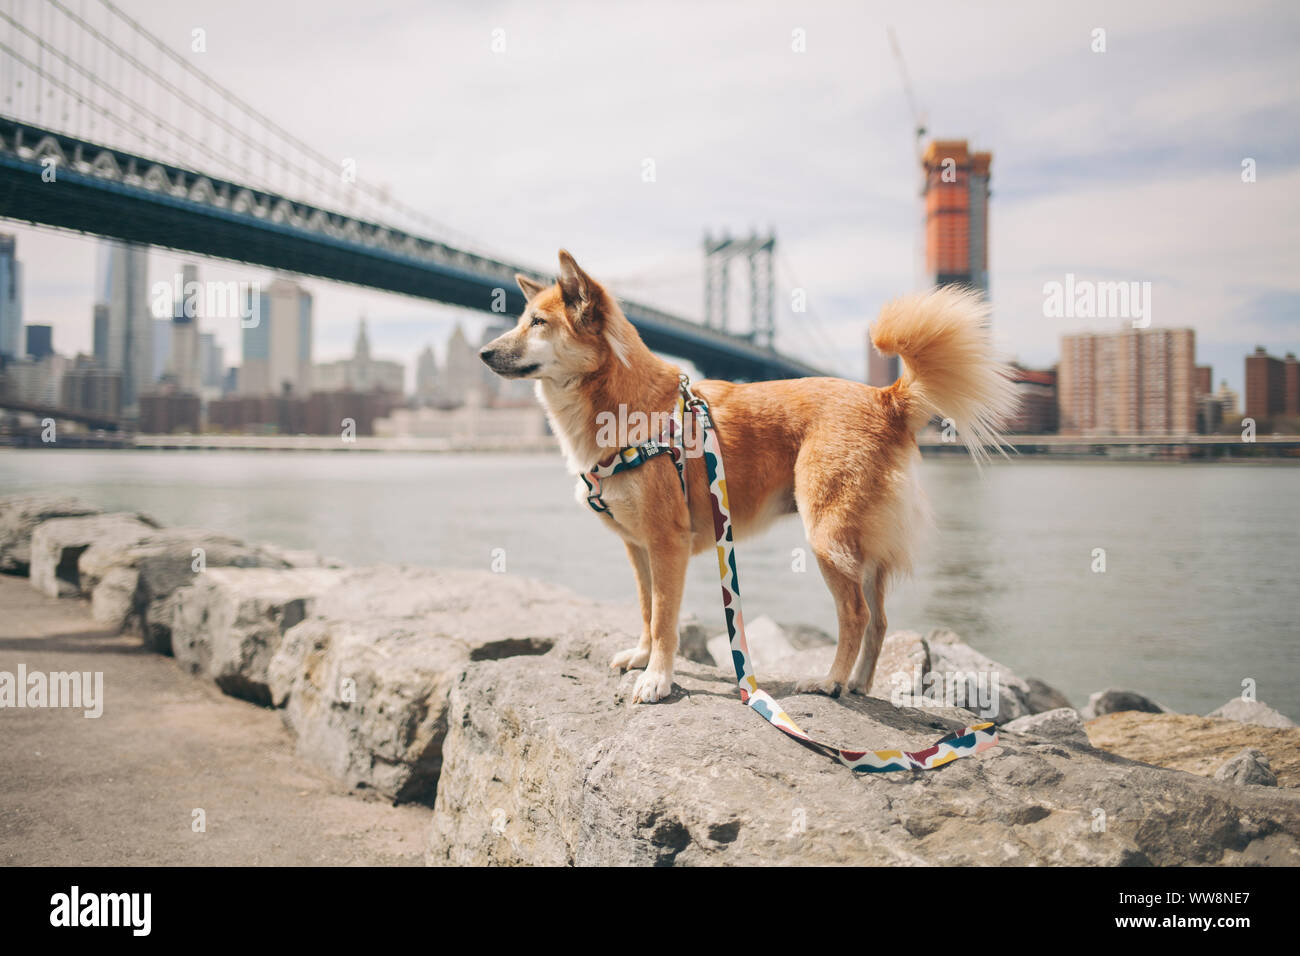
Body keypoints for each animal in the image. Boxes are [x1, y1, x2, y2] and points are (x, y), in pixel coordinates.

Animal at [483, 251, 1019, 707]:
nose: (484, 353)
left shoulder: (667, 542)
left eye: (538, 323)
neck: (623, 407)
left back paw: (830, 681)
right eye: (520, 319)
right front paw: (641, 657)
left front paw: (657, 678)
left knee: (856, 615)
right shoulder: (638, 547)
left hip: (827, 535)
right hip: (860, 545)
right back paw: (859, 684)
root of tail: (885, 398)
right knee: (881, 619)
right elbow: (646, 610)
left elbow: (665, 619)